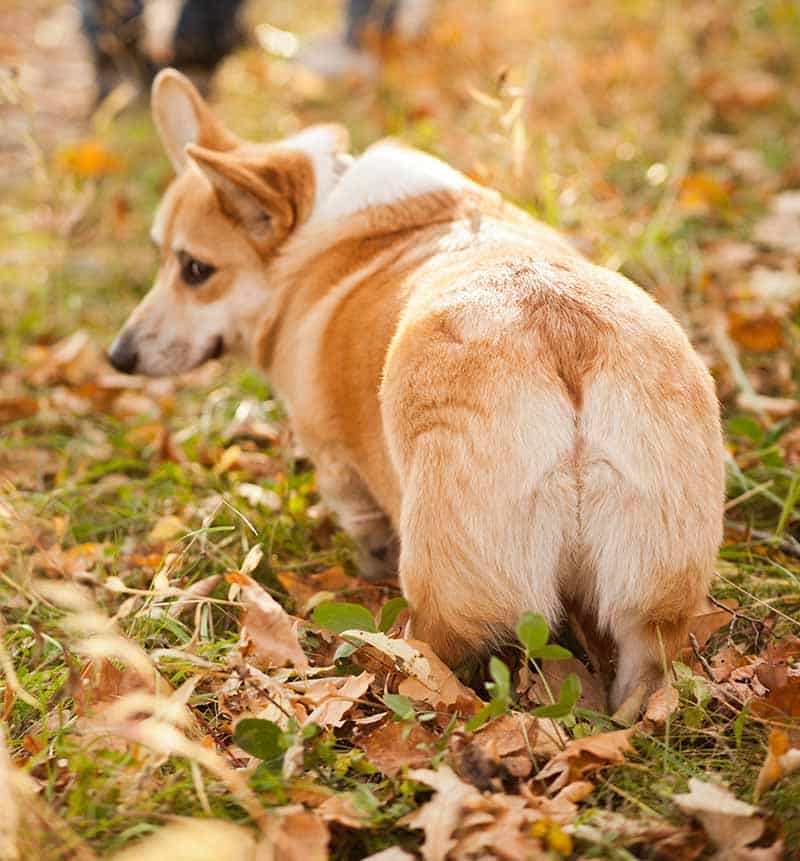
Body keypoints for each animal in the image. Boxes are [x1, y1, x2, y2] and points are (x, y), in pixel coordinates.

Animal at [109, 70, 728, 708]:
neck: (316, 222)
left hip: (445, 574)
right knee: (643, 674)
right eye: (163, 258)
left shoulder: (337, 466)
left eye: (195, 270)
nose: (118, 356)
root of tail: (560, 332)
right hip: (649, 590)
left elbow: (364, 531)